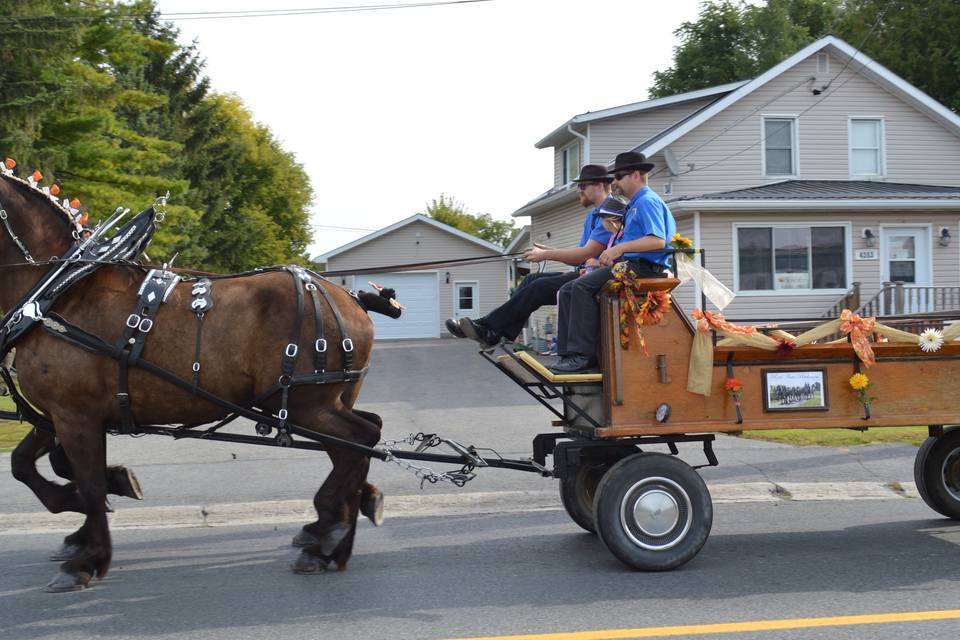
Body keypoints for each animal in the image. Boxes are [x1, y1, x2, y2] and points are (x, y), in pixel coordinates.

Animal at [0, 174, 382, 592]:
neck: (60, 291)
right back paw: (336, 535)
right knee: (356, 444)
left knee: (360, 440)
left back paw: (328, 534)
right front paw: (94, 510)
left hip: (306, 403)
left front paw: (86, 559)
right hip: (322, 401)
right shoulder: (58, 414)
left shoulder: (75, 414)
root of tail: (349, 298)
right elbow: (28, 464)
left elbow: (89, 482)